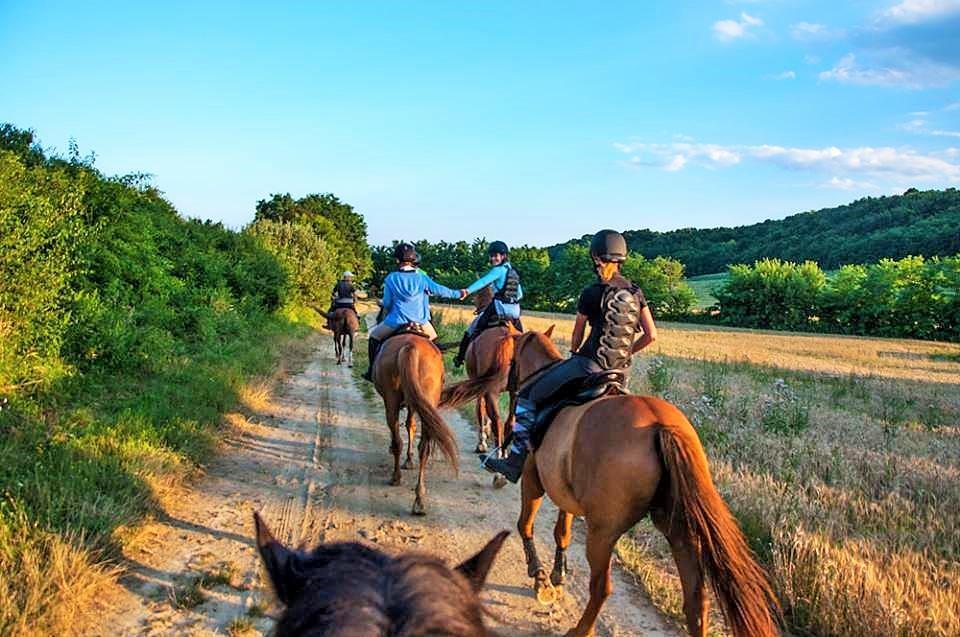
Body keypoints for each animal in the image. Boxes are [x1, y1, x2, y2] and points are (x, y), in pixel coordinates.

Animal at [374, 330, 460, 516]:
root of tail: (410, 346)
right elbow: (410, 425)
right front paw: (409, 460)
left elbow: (408, 426)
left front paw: (407, 459)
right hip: (426, 399)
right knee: (424, 448)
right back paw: (419, 500)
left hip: (391, 400)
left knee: (397, 439)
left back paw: (396, 477)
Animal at [442, 328, 780, 636]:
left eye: (512, 360)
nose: (507, 387)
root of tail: (660, 426)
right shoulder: (566, 494)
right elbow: (562, 532)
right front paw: (557, 574)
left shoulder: (533, 481)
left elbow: (525, 524)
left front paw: (539, 576)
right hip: (678, 530)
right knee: (696, 600)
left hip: (602, 532)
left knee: (602, 587)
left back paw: (580, 630)